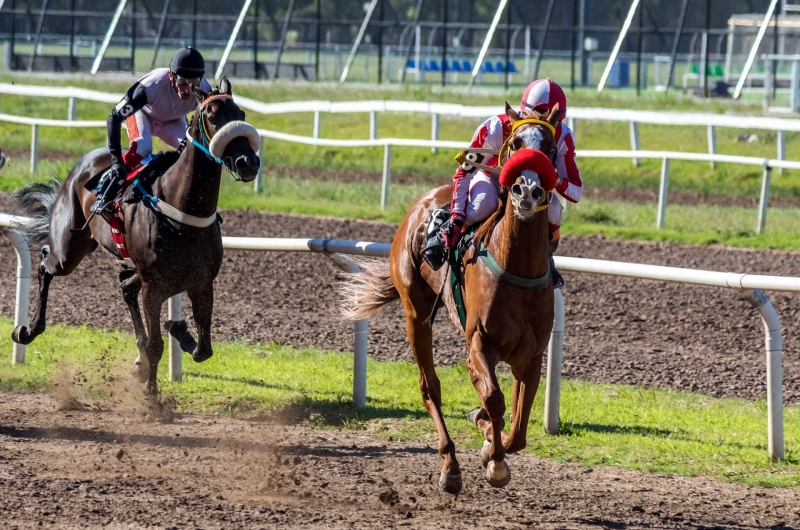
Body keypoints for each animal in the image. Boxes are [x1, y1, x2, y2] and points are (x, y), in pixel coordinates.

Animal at [8, 77, 260, 392]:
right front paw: (151, 394)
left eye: (241, 114)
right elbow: (156, 345)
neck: (183, 209)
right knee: (45, 262)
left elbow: (204, 350)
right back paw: (28, 330)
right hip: (69, 249)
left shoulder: (202, 282)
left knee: (125, 285)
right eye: (212, 116)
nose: (248, 162)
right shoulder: (154, 286)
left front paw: (179, 329)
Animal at [340, 104, 560, 496]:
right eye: (516, 142)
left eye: (549, 147)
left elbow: (518, 427)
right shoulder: (479, 341)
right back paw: (450, 465)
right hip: (415, 311)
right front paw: (494, 461)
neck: (515, 266)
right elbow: (493, 399)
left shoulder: (532, 355)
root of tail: (423, 202)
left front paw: (490, 441)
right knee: (430, 387)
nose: (528, 191)